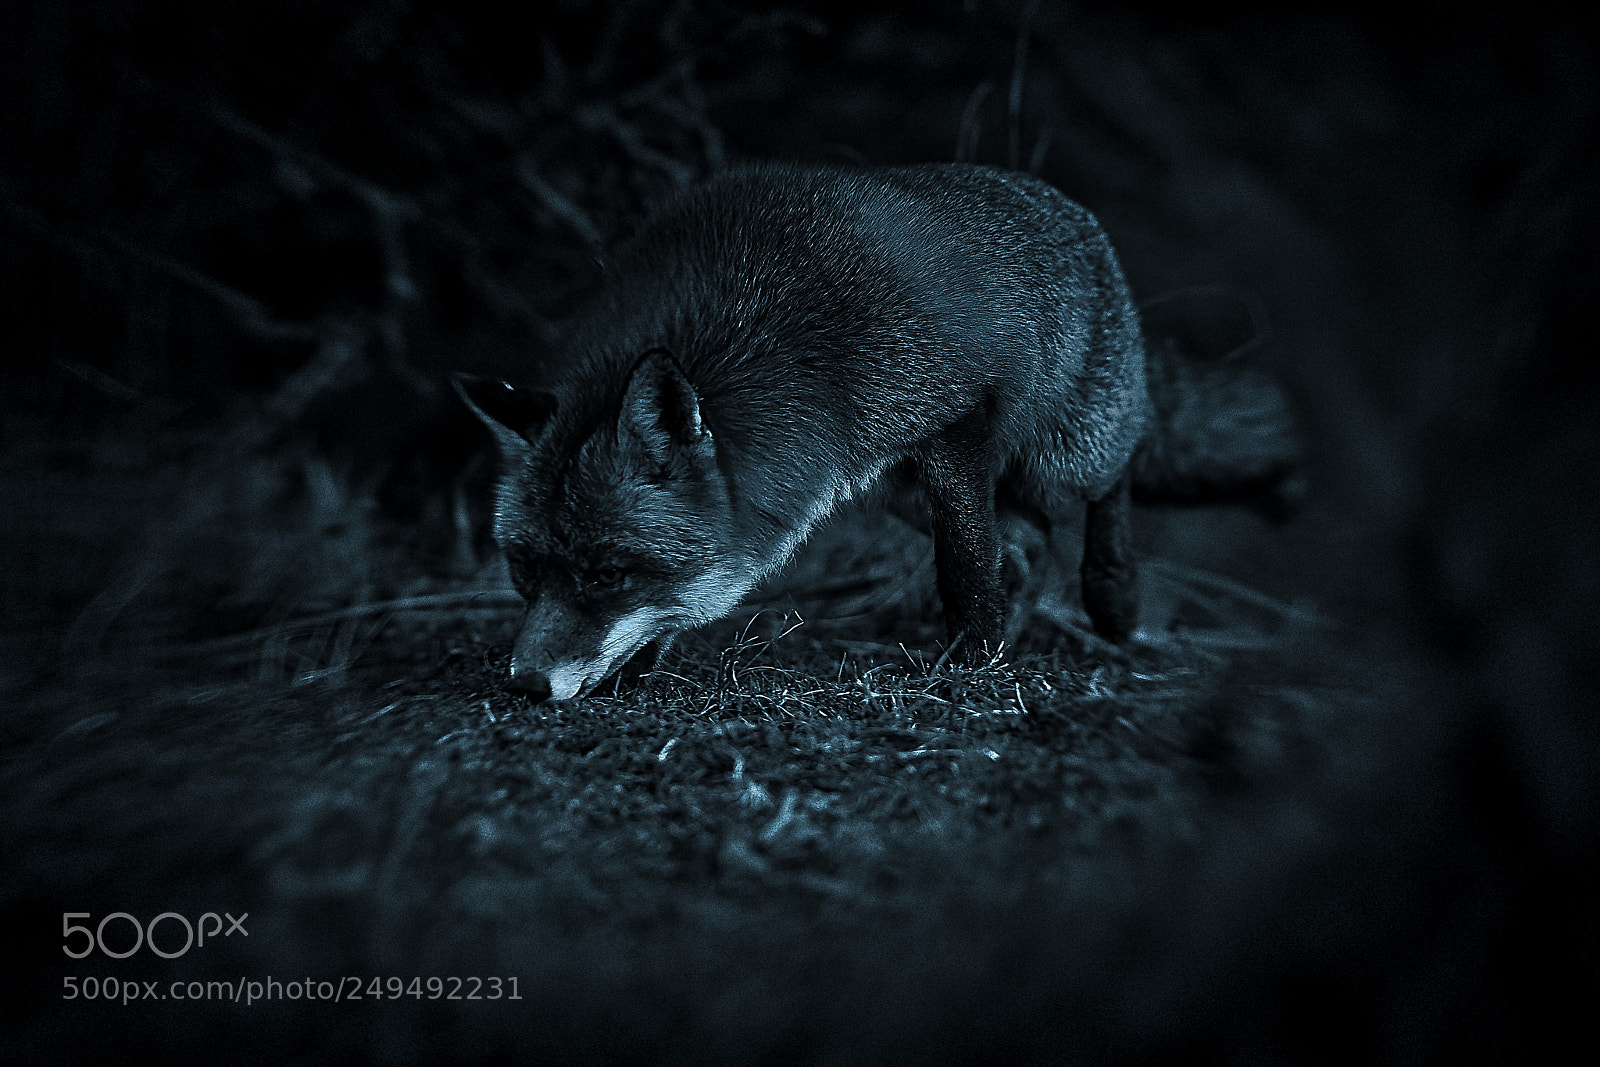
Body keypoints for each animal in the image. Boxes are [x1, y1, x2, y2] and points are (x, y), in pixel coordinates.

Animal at [456, 162, 1301, 702]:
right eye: (525, 569)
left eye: (607, 574)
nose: (525, 684)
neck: (755, 337)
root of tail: (1065, 203)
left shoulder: (957, 418)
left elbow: (966, 566)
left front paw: (971, 664)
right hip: (896, 489)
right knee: (1028, 547)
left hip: (1062, 452)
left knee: (1111, 478)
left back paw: (1113, 597)